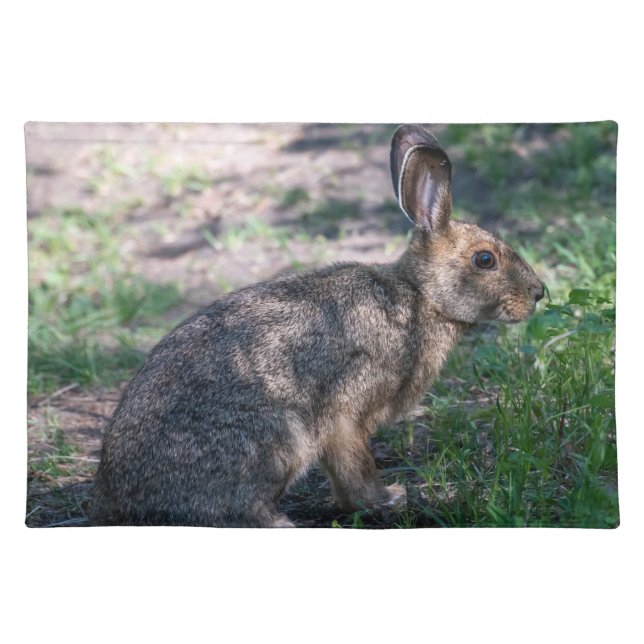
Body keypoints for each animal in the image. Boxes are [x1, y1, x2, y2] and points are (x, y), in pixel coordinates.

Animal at [90, 124, 544, 527]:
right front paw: (387, 499)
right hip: (276, 439)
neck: (419, 297)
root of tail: (120, 502)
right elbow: (354, 465)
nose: (539, 293)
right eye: (485, 259)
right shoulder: (348, 409)